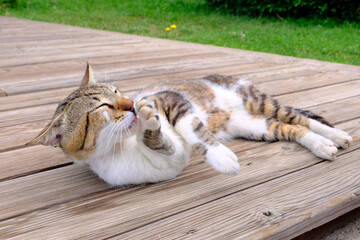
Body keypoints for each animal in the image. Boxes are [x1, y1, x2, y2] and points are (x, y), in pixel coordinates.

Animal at [27, 63, 352, 186]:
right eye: (102, 106)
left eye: (117, 91)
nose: (131, 103)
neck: (123, 144)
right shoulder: (165, 163)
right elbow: (163, 144)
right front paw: (149, 125)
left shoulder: (171, 100)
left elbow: (191, 128)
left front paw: (221, 157)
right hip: (254, 125)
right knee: (293, 128)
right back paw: (322, 144)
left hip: (257, 102)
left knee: (301, 117)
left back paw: (335, 135)